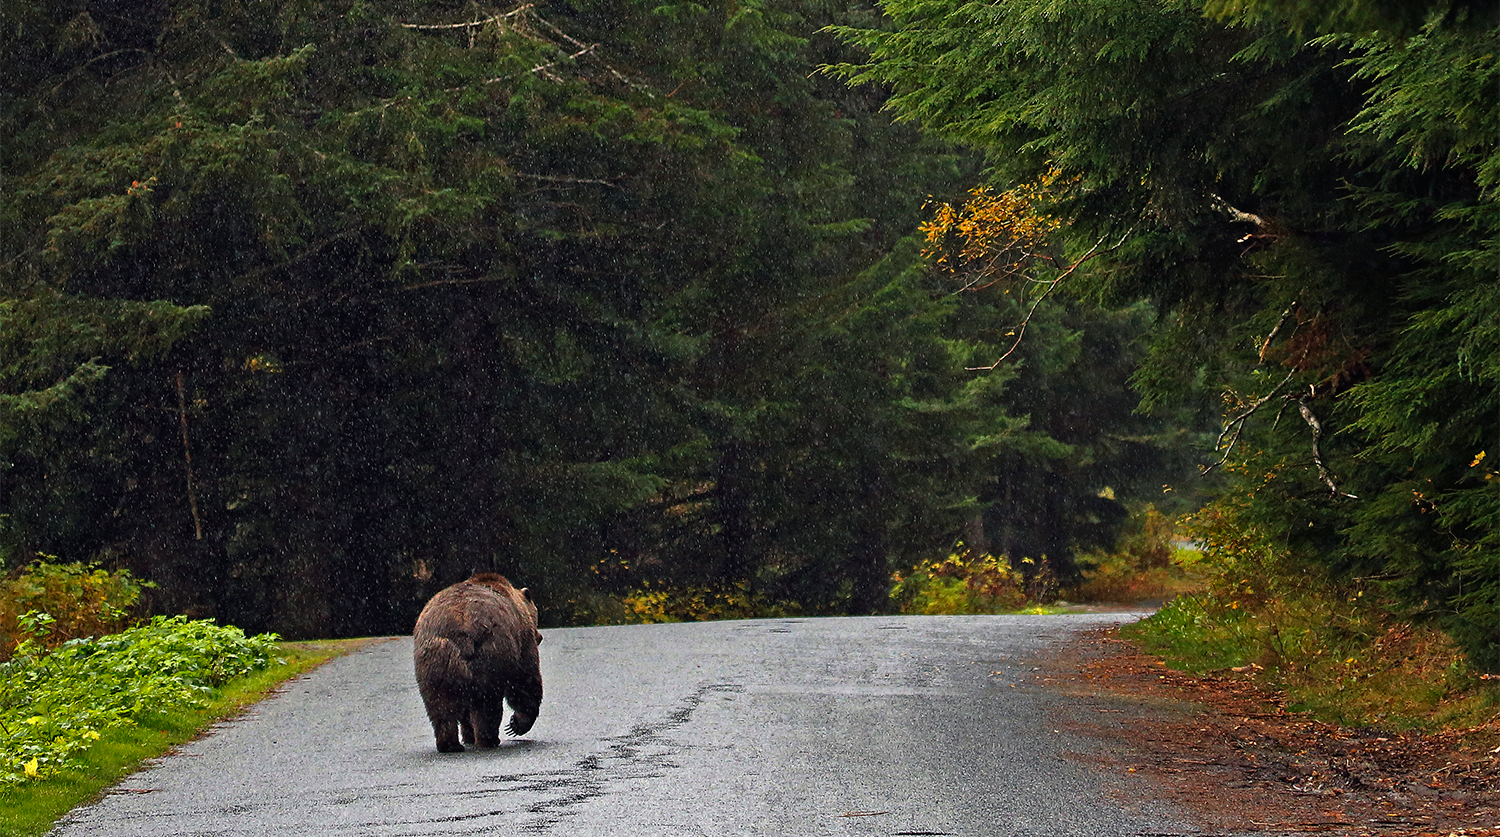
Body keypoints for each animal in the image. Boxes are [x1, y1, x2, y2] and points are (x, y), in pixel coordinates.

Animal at [414, 576, 543, 756]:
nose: (540, 636)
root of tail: (461, 630)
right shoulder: (522, 638)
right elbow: (525, 678)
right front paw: (517, 723)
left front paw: (468, 734)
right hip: (491, 653)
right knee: (487, 702)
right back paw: (488, 739)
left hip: (436, 660)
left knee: (440, 706)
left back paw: (450, 744)